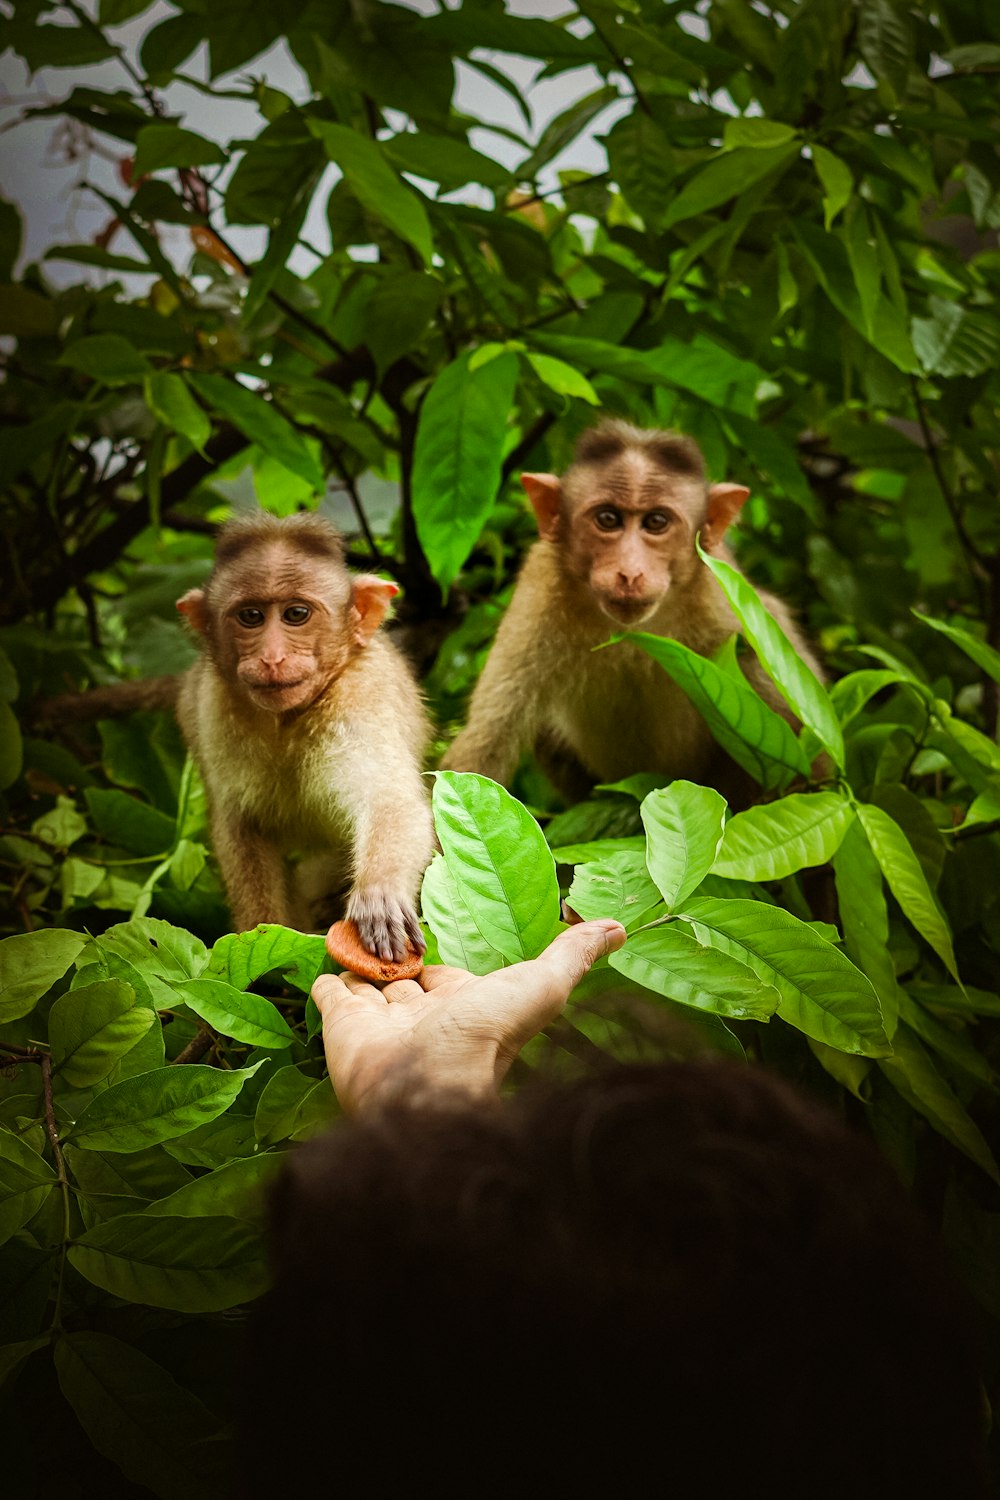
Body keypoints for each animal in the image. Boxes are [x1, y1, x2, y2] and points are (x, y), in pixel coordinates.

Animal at [440, 420, 827, 810]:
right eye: (608, 519)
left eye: (656, 522)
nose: (629, 573)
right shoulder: (538, 597)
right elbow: (485, 745)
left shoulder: (726, 604)